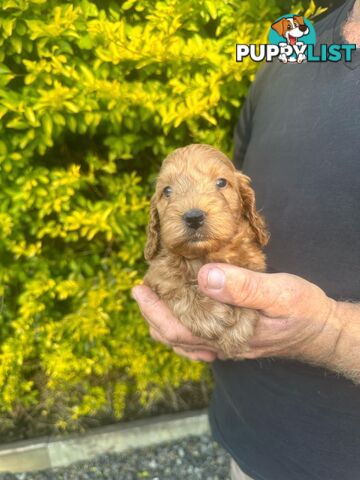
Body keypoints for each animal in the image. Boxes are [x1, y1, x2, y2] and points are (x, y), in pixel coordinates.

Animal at [142, 144, 268, 358]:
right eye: (167, 191)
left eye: (221, 182)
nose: (193, 217)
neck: (203, 255)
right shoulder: (157, 275)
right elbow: (175, 287)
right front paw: (207, 313)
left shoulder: (252, 264)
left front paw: (237, 328)